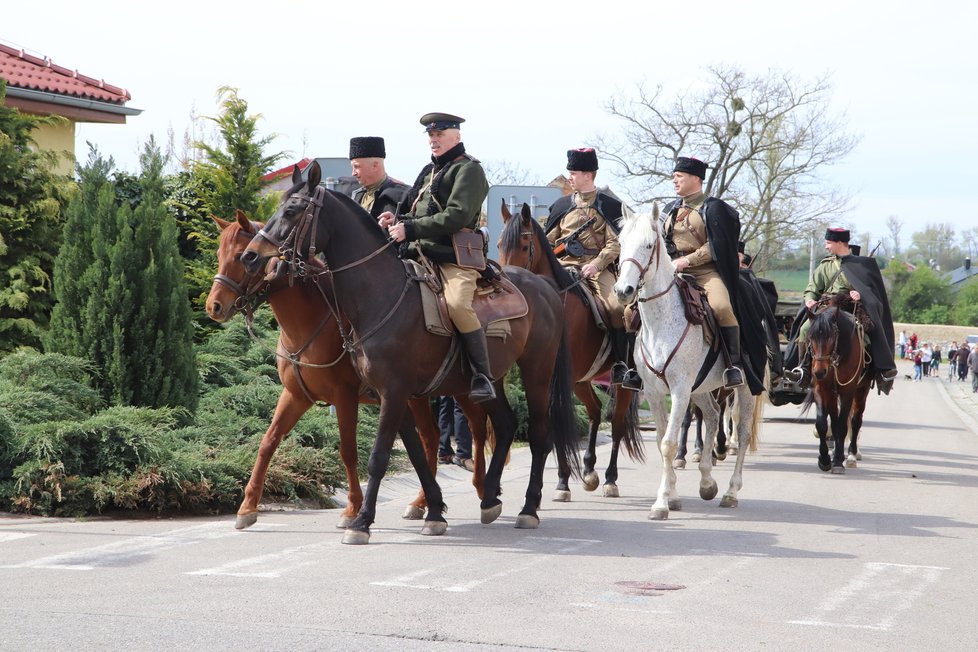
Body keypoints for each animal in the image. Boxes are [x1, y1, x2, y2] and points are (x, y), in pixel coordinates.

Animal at [206, 211, 480, 532]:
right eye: (219, 255)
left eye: (242, 256)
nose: (214, 306)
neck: (309, 324)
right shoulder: (295, 395)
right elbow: (268, 442)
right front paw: (248, 506)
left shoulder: (345, 396)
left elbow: (348, 450)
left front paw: (353, 508)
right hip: (416, 396)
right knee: (431, 437)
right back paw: (422, 503)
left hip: (455, 391)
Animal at [240, 163, 580, 544]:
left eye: (292, 210)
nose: (250, 256)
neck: (380, 296)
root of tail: (545, 286)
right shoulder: (391, 394)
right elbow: (416, 453)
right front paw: (433, 512)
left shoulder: (392, 392)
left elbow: (378, 456)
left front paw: (362, 521)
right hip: (487, 381)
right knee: (505, 425)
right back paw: (490, 498)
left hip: (537, 373)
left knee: (539, 434)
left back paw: (528, 508)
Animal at [500, 202, 644, 500]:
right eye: (497, 243)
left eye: (523, 245)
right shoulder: (557, 377)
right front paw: (563, 480)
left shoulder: (559, 377)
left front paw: (562, 480)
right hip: (581, 381)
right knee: (595, 411)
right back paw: (589, 470)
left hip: (621, 383)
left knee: (616, 424)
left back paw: (610, 479)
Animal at [612, 204, 768, 520]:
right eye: (622, 243)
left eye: (649, 245)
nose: (624, 291)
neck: (661, 321)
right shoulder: (655, 393)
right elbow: (663, 440)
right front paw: (672, 497)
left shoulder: (680, 390)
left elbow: (669, 443)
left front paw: (661, 503)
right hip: (702, 388)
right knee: (712, 414)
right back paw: (707, 482)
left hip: (744, 387)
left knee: (742, 433)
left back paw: (731, 492)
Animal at [796, 300, 872, 474]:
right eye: (810, 337)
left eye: (832, 337)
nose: (819, 371)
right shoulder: (820, 389)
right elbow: (822, 424)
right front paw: (824, 460)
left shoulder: (848, 391)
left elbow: (843, 425)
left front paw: (837, 462)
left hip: (861, 391)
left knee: (855, 420)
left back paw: (851, 455)